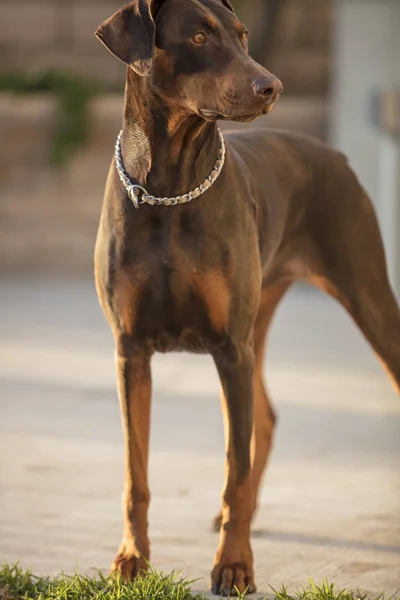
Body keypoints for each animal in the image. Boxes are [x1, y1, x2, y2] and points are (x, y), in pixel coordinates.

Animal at [94, 0, 400, 592]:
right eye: (197, 36)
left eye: (242, 36)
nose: (272, 85)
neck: (169, 188)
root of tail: (336, 155)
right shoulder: (131, 351)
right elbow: (135, 471)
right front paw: (132, 558)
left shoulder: (229, 348)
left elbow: (233, 468)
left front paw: (234, 564)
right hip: (257, 323)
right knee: (266, 418)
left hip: (367, 299)